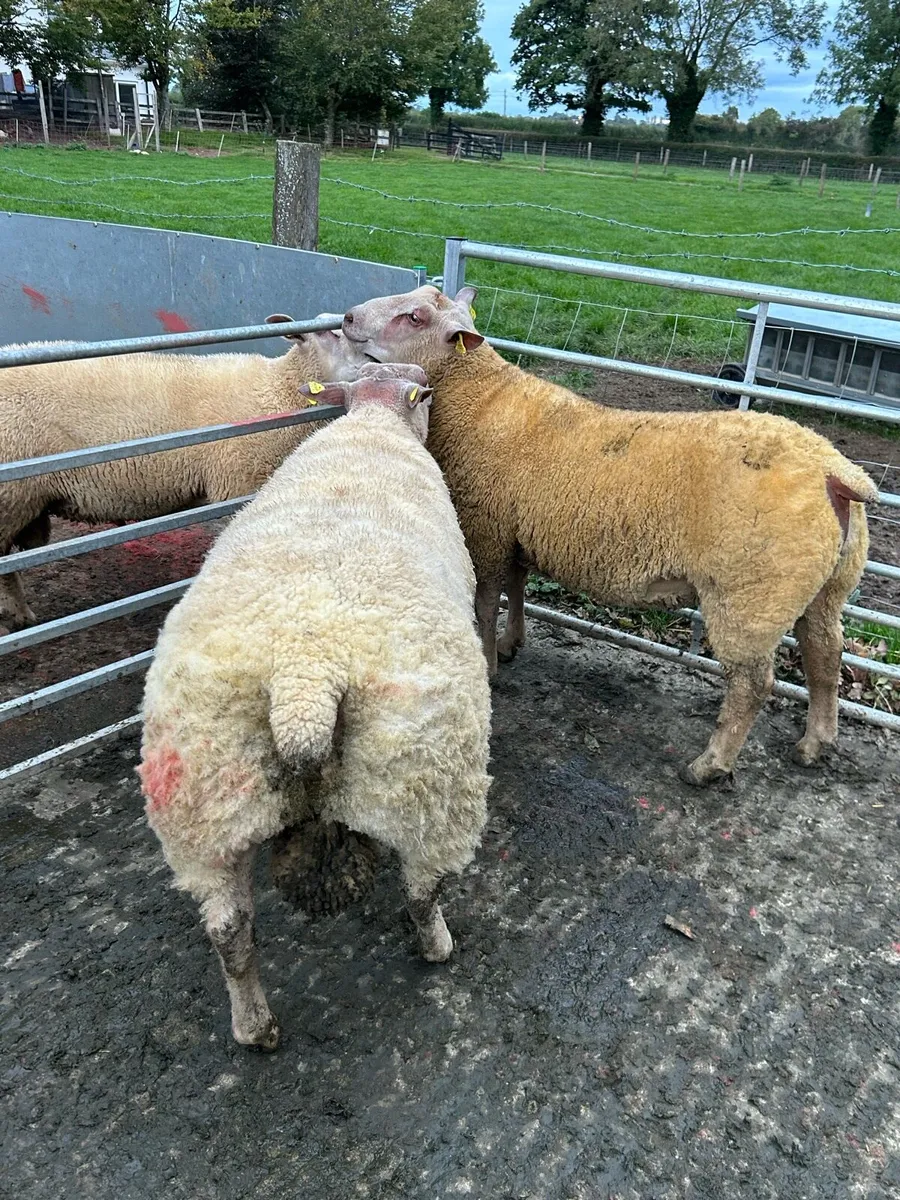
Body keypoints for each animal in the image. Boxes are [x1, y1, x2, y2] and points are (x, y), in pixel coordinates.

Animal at [138, 363, 492, 1049]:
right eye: (424, 396)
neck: (372, 424)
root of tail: (306, 681)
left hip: (204, 810)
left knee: (228, 931)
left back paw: (255, 1028)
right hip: (431, 786)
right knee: (422, 888)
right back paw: (438, 946)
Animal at [341, 284, 878, 787]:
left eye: (414, 317)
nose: (346, 317)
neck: (477, 398)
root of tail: (836, 474)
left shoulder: (486, 529)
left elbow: (487, 601)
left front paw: (490, 660)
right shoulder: (517, 532)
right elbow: (517, 588)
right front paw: (513, 642)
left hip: (751, 594)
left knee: (754, 683)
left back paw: (710, 764)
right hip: (825, 586)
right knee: (826, 657)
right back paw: (815, 743)